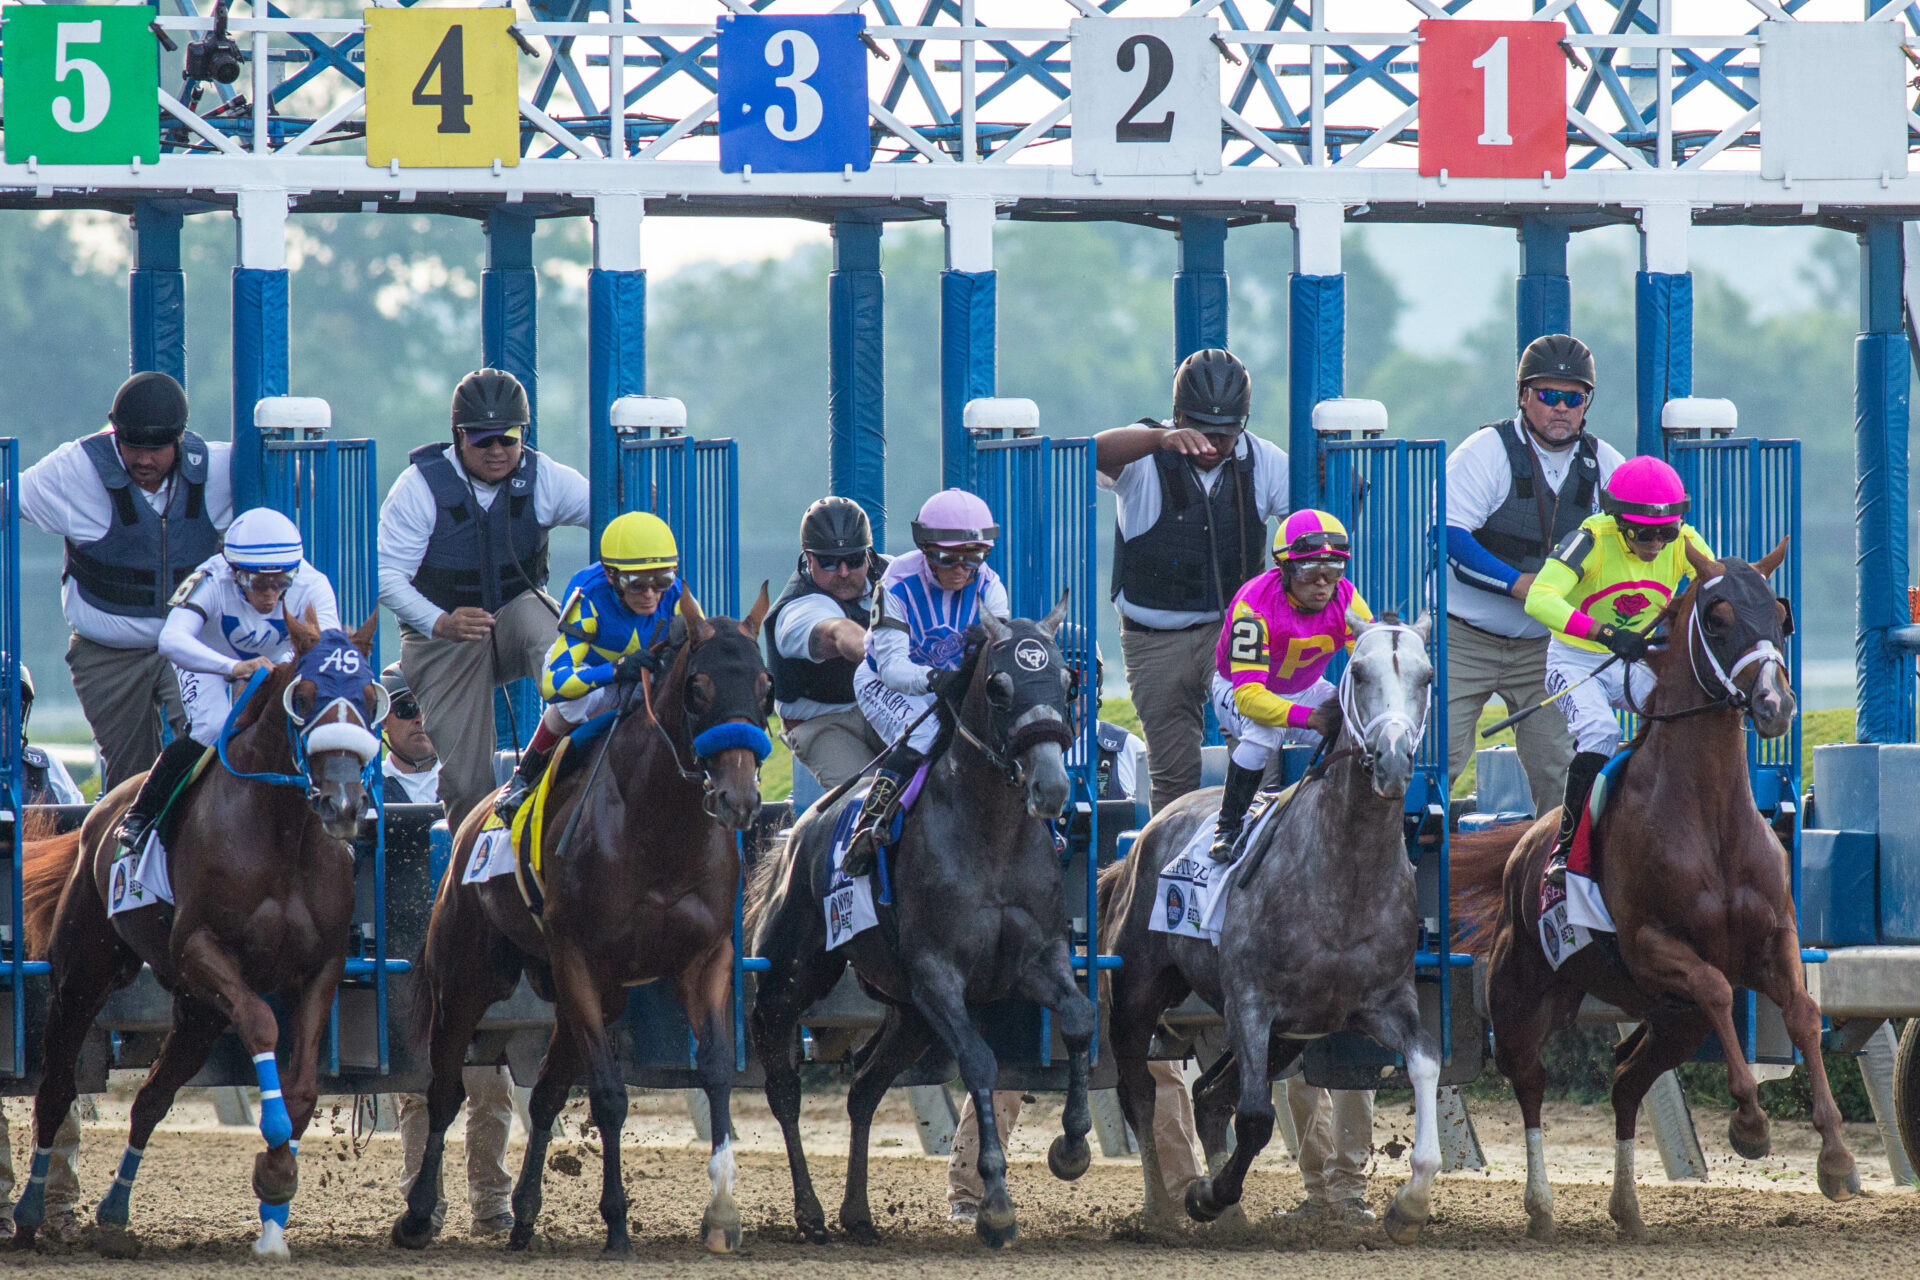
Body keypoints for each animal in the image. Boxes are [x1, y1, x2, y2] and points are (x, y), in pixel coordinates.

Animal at [12, 614, 382, 1258]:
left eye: (367, 697)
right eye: (305, 697)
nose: (344, 805)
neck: (282, 832)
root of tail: (97, 813)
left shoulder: (322, 968)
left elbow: (304, 1088)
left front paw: (275, 1202)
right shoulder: (201, 948)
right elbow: (260, 1023)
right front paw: (274, 1156)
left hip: (197, 1012)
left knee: (150, 1099)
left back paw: (114, 1213)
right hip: (83, 976)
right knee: (56, 1090)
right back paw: (31, 1211)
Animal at [389, 591, 771, 1258]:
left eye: (766, 685)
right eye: (697, 688)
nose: (741, 799)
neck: (660, 829)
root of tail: (464, 824)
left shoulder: (707, 959)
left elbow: (719, 1072)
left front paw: (723, 1213)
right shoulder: (581, 961)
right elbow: (611, 1097)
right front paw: (616, 1222)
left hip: (582, 995)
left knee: (543, 1095)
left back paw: (522, 1216)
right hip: (466, 977)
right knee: (443, 1093)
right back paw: (416, 1215)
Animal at [741, 602, 1090, 1251]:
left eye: (1067, 682)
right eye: (999, 688)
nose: (1053, 787)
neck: (990, 836)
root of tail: (799, 827)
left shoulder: (1039, 957)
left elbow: (1079, 1019)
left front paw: (1072, 1146)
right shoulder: (937, 974)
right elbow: (979, 1061)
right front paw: (995, 1205)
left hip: (910, 1016)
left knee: (863, 1090)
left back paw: (857, 1213)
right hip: (789, 978)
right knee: (784, 1088)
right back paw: (811, 1213)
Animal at [1098, 614, 1443, 1243]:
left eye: (1427, 675)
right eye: (1359, 672)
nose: (1393, 761)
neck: (1343, 879)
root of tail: (1144, 832)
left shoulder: (1383, 1002)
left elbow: (1425, 1064)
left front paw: (1408, 1208)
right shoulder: (1249, 1003)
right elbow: (1256, 1118)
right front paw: (1205, 1195)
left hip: (1290, 1035)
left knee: (1208, 1096)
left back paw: (1229, 1216)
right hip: (1137, 990)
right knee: (1141, 1092)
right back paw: (1161, 1209)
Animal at [1451, 541, 1858, 1243]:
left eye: (1781, 615)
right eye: (1718, 618)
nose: (1775, 704)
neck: (1711, 815)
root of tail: (1522, 847)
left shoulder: (1775, 937)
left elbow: (1804, 1013)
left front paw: (1835, 1157)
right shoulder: (1650, 946)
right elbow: (1718, 986)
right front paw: (1750, 1123)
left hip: (1674, 1020)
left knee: (1624, 1080)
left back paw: (1628, 1207)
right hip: (1523, 994)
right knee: (1529, 1082)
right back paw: (1540, 1206)